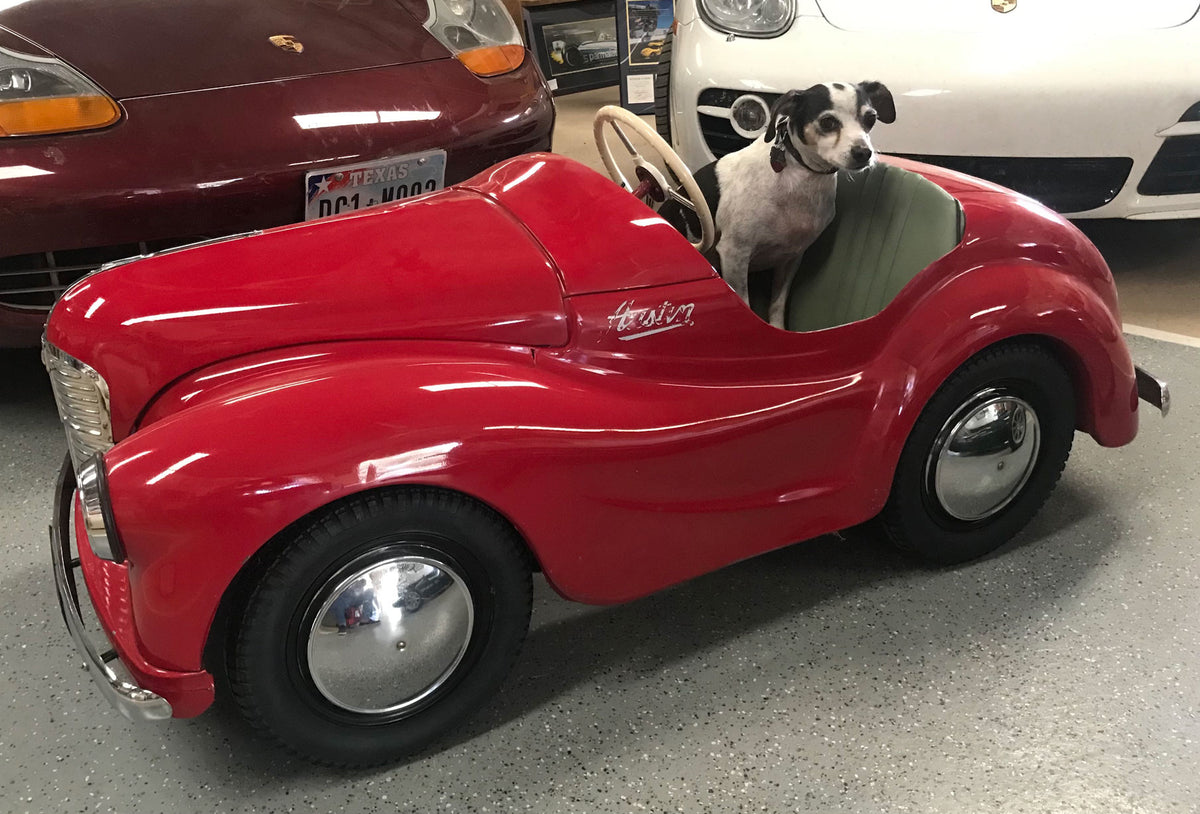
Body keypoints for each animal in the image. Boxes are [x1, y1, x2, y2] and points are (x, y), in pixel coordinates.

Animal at [705, 80, 897, 328]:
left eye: (871, 118)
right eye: (827, 122)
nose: (864, 153)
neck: (802, 178)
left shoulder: (791, 258)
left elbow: (777, 304)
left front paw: (777, 329)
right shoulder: (734, 254)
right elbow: (744, 305)